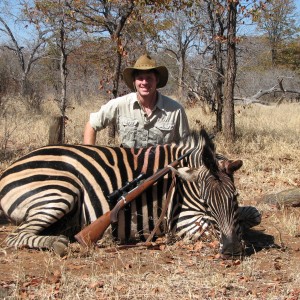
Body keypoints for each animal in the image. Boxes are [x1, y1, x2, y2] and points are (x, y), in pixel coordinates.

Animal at [0, 129, 260, 258]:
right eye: (206, 202)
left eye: (234, 198)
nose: (232, 250)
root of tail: (7, 171)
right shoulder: (183, 220)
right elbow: (208, 228)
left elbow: (255, 214)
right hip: (61, 192)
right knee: (15, 237)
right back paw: (58, 243)